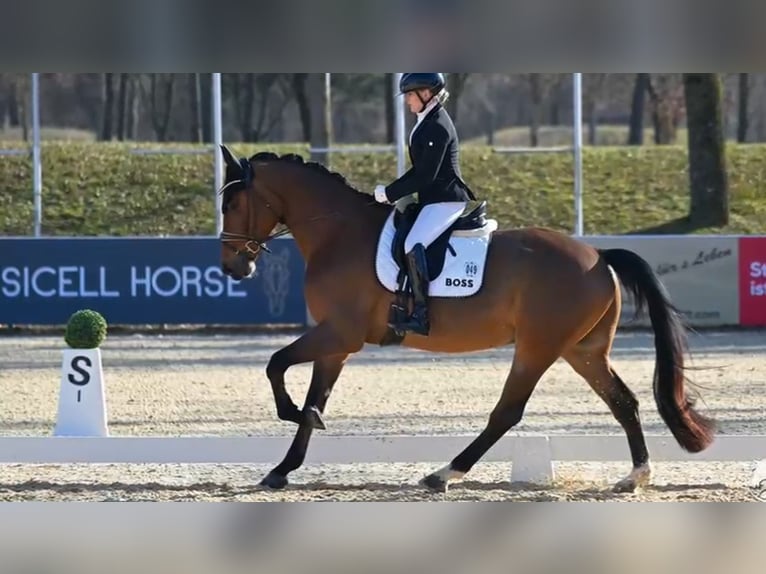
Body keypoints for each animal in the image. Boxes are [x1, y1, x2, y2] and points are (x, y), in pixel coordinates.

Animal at [216, 144, 716, 494]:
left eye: (232, 204)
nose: (234, 267)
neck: (338, 232)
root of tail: (598, 254)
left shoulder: (340, 334)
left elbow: (276, 366)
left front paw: (293, 417)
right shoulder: (336, 345)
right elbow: (310, 397)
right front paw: (283, 468)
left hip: (538, 347)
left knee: (507, 412)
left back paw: (444, 474)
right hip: (583, 350)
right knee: (623, 402)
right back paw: (635, 477)